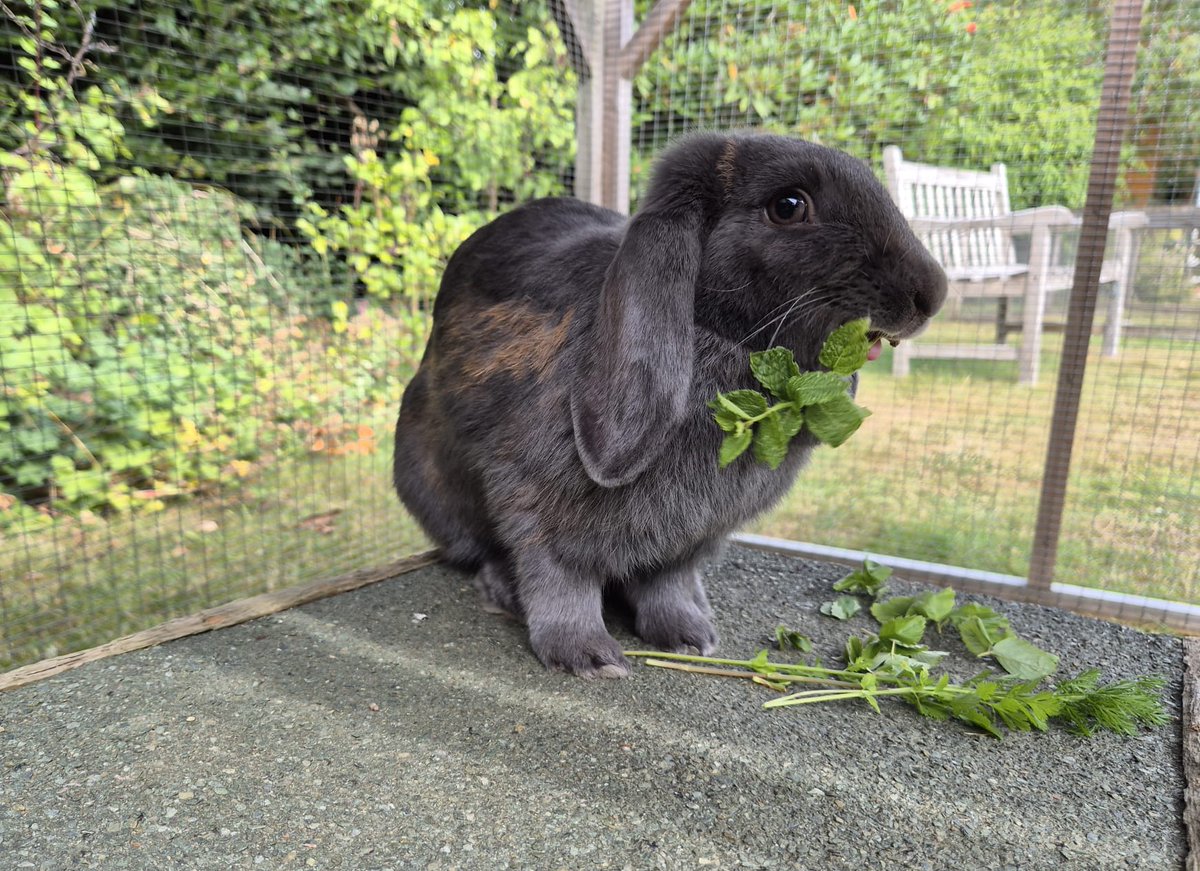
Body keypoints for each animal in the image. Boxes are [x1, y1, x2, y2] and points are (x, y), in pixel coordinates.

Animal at [393, 132, 947, 678]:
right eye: (789, 206)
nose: (932, 295)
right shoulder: (536, 502)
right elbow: (560, 579)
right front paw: (589, 658)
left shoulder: (687, 540)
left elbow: (667, 584)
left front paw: (688, 638)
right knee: (479, 550)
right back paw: (503, 591)